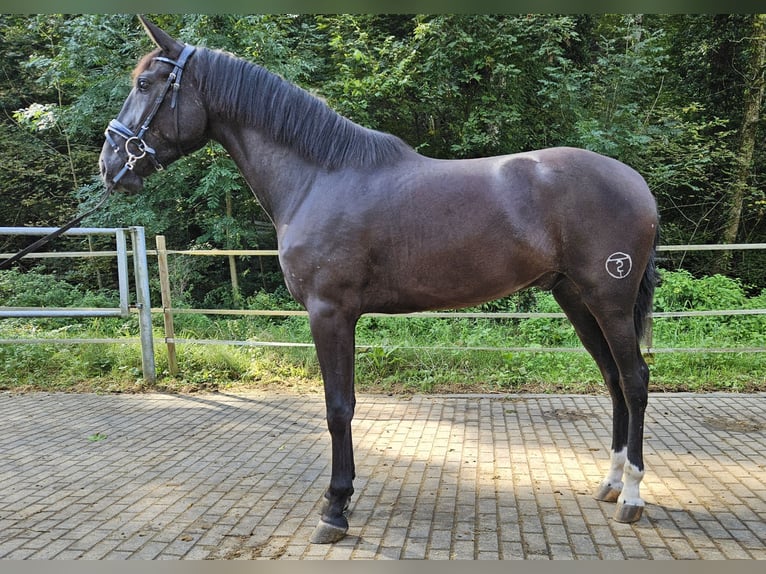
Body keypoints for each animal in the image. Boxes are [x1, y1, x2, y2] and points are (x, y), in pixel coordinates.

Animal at [100, 17, 659, 544]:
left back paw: (632, 494)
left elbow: (337, 408)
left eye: (146, 83)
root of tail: (636, 183)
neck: (318, 177)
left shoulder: (329, 313)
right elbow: (343, 405)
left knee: (634, 380)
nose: (110, 164)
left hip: (608, 299)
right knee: (612, 379)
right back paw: (610, 484)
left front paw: (334, 508)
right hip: (575, 298)